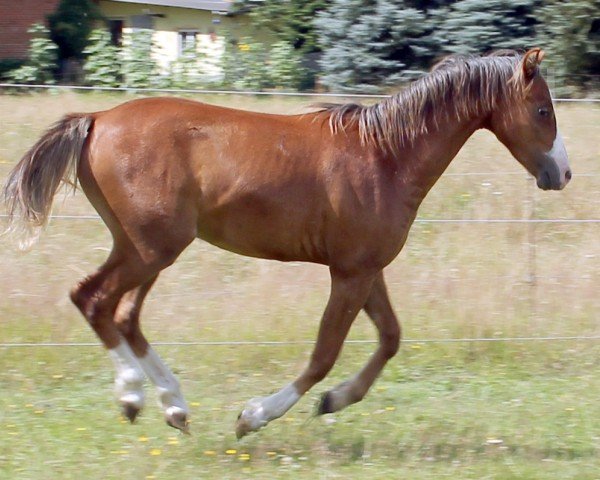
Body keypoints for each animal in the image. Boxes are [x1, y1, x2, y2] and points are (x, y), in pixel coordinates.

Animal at [2, 47, 568, 436]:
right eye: (543, 110)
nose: (561, 174)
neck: (386, 156)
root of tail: (95, 120)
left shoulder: (366, 268)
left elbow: (390, 337)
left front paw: (335, 401)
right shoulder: (350, 272)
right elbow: (324, 354)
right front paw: (254, 415)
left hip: (145, 248)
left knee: (123, 315)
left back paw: (175, 406)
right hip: (151, 249)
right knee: (93, 299)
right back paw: (134, 398)